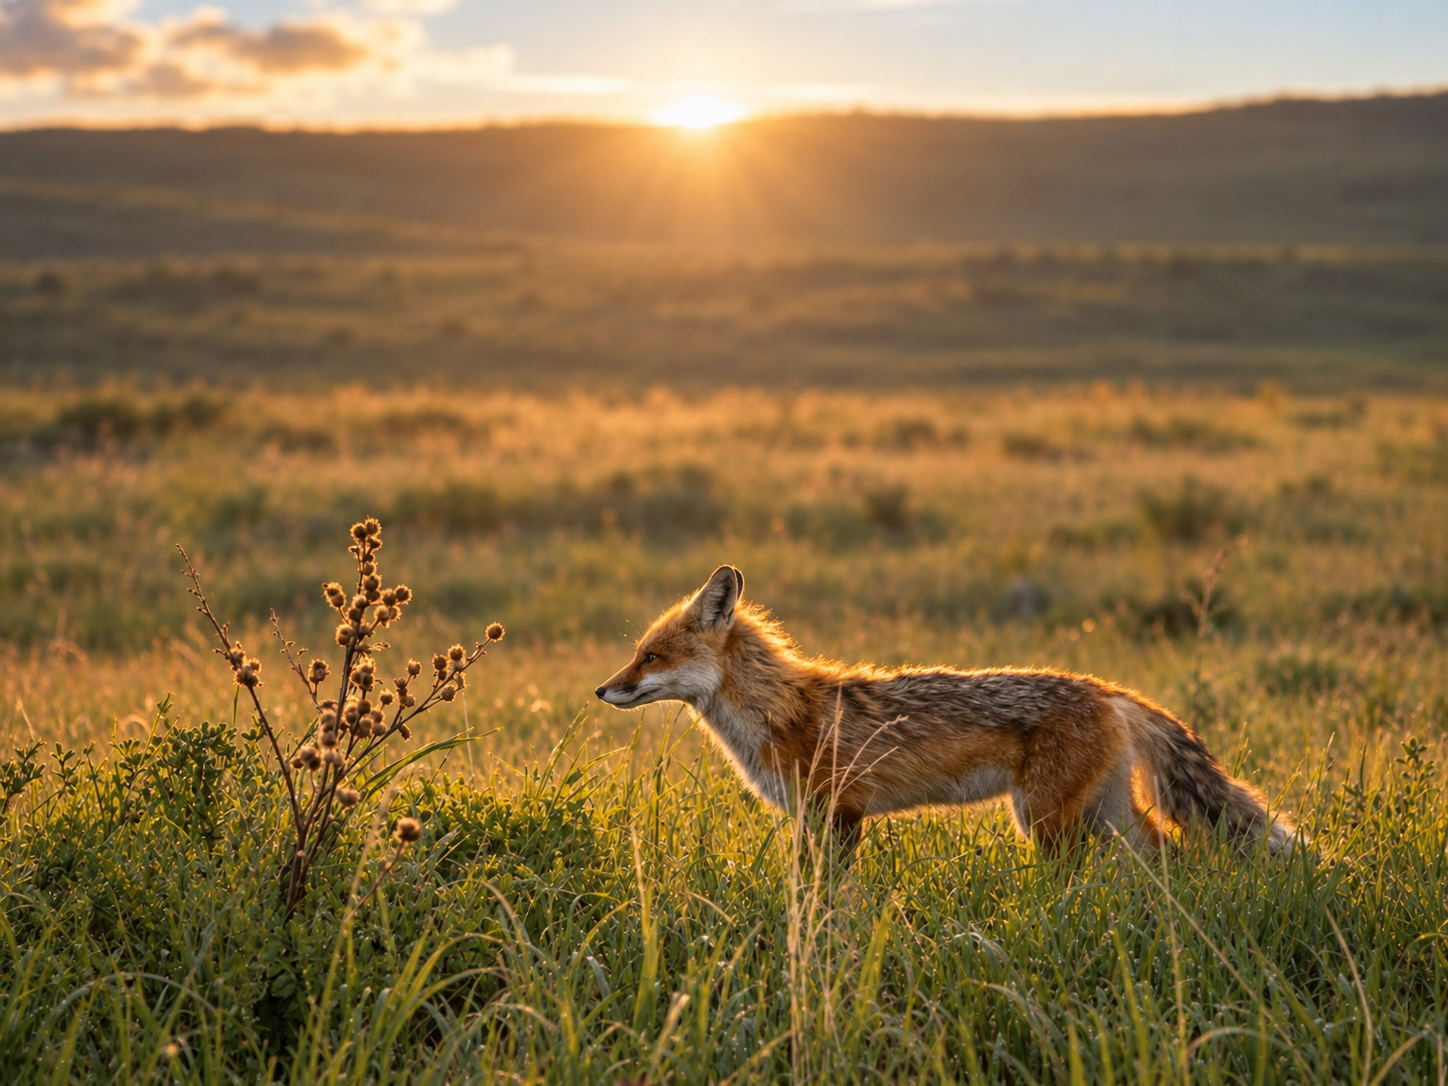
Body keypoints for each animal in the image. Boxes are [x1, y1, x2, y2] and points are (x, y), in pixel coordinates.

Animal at [596, 566, 1295, 857]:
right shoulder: (816, 818)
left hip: (1047, 821)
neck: (778, 713)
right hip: (1097, 814)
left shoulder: (839, 814)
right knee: (1163, 856)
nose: (602, 691)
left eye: (651, 657)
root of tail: (1106, 688)